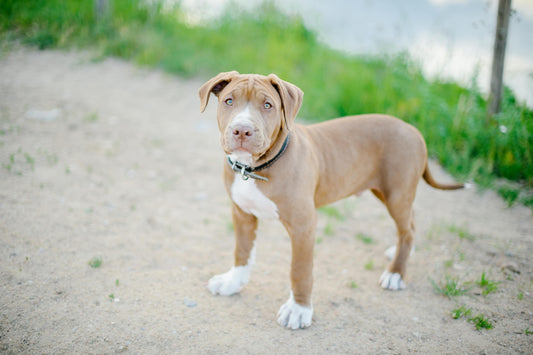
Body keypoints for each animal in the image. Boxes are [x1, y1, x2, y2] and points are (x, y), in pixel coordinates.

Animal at [197, 72, 464, 330]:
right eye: (229, 101)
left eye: (267, 105)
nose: (242, 130)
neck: (254, 168)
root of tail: (413, 130)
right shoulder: (242, 214)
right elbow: (242, 252)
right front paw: (232, 283)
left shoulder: (303, 225)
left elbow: (300, 270)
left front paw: (299, 309)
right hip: (391, 193)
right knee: (410, 223)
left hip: (396, 192)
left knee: (406, 229)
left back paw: (395, 273)